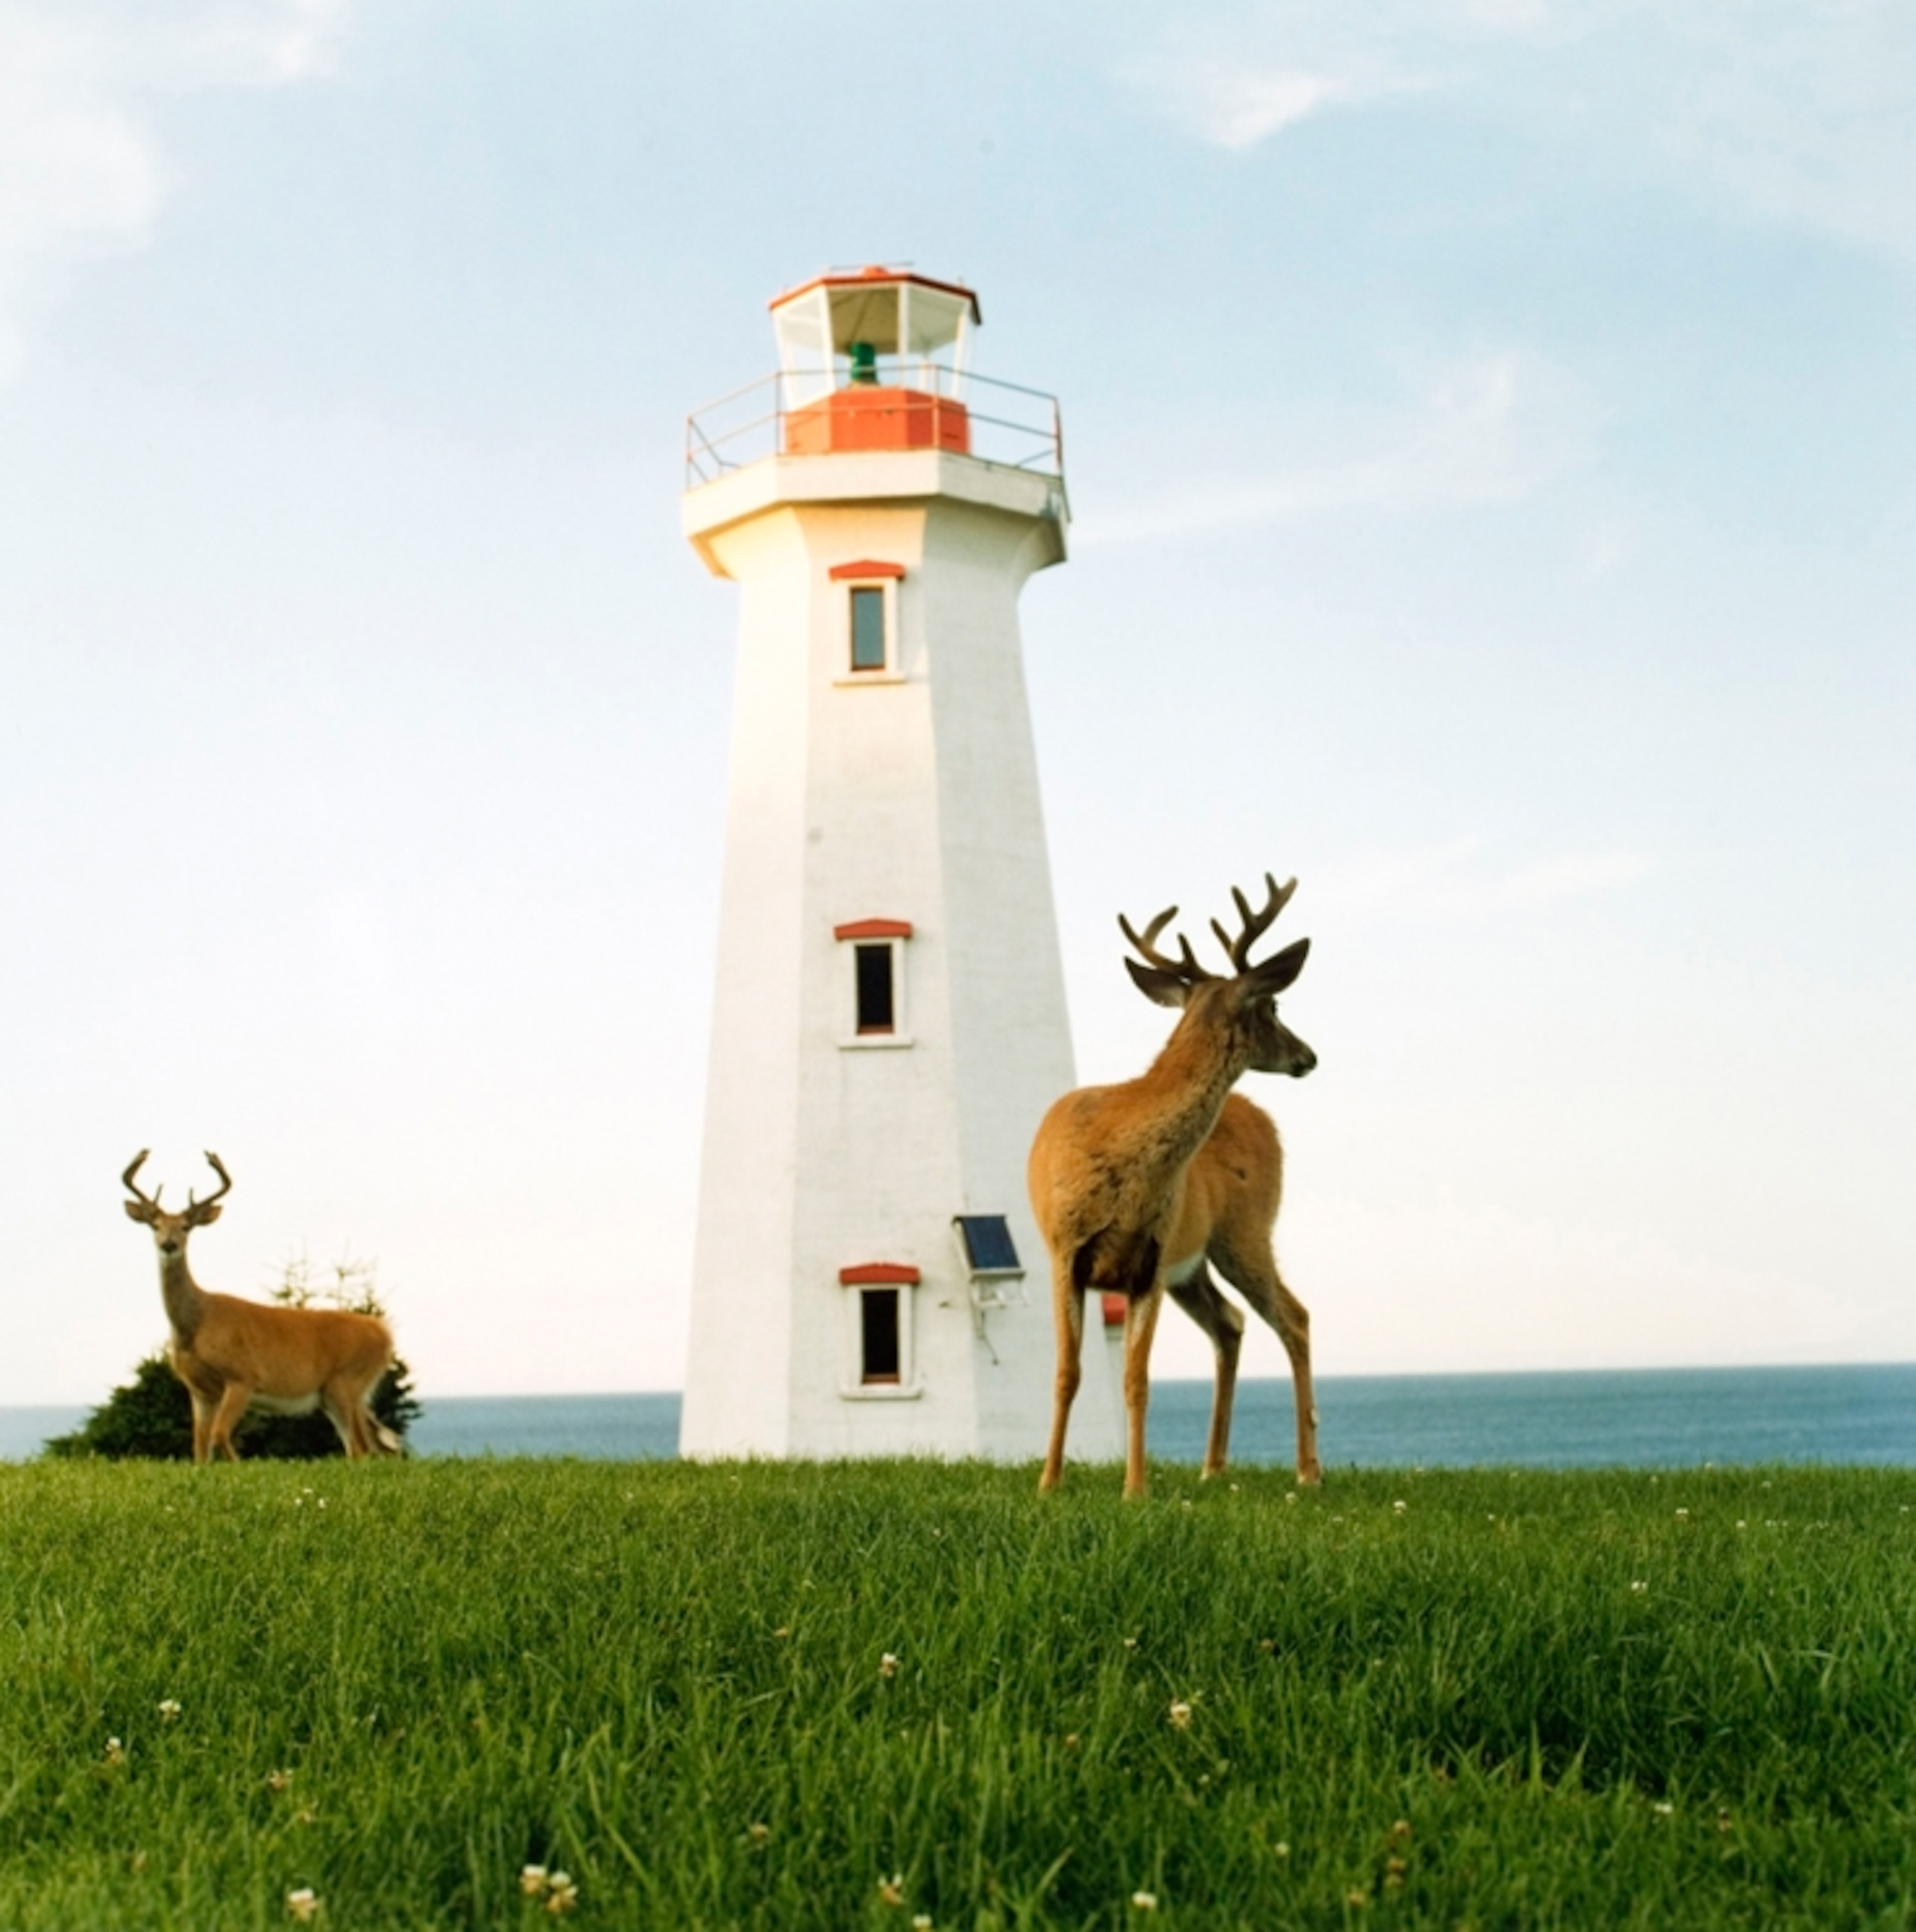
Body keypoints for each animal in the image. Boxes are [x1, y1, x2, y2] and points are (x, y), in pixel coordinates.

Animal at [121, 1151, 401, 1463]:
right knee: (378, 1444)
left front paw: (237, 1468)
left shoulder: (243, 1376)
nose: (169, 1245)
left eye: (186, 1228)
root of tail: (384, 1335)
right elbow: (200, 1447)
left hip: (346, 1382)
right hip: (341, 1394)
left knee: (361, 1448)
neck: (196, 1325)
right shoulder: (200, 1390)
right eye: (155, 1226)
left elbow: (219, 1435)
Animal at [1028, 874, 1319, 1498]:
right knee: (1231, 1324)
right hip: (1199, 1263)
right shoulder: (1065, 1251)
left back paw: (1308, 1471)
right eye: (1273, 1004)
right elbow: (1066, 1373)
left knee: (1293, 1317)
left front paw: (1133, 1491)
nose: (1309, 1055)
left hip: (1244, 1233)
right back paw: (1214, 1467)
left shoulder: (1150, 1261)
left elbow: (1136, 1380)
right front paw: (1048, 1482)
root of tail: (1265, 1120)